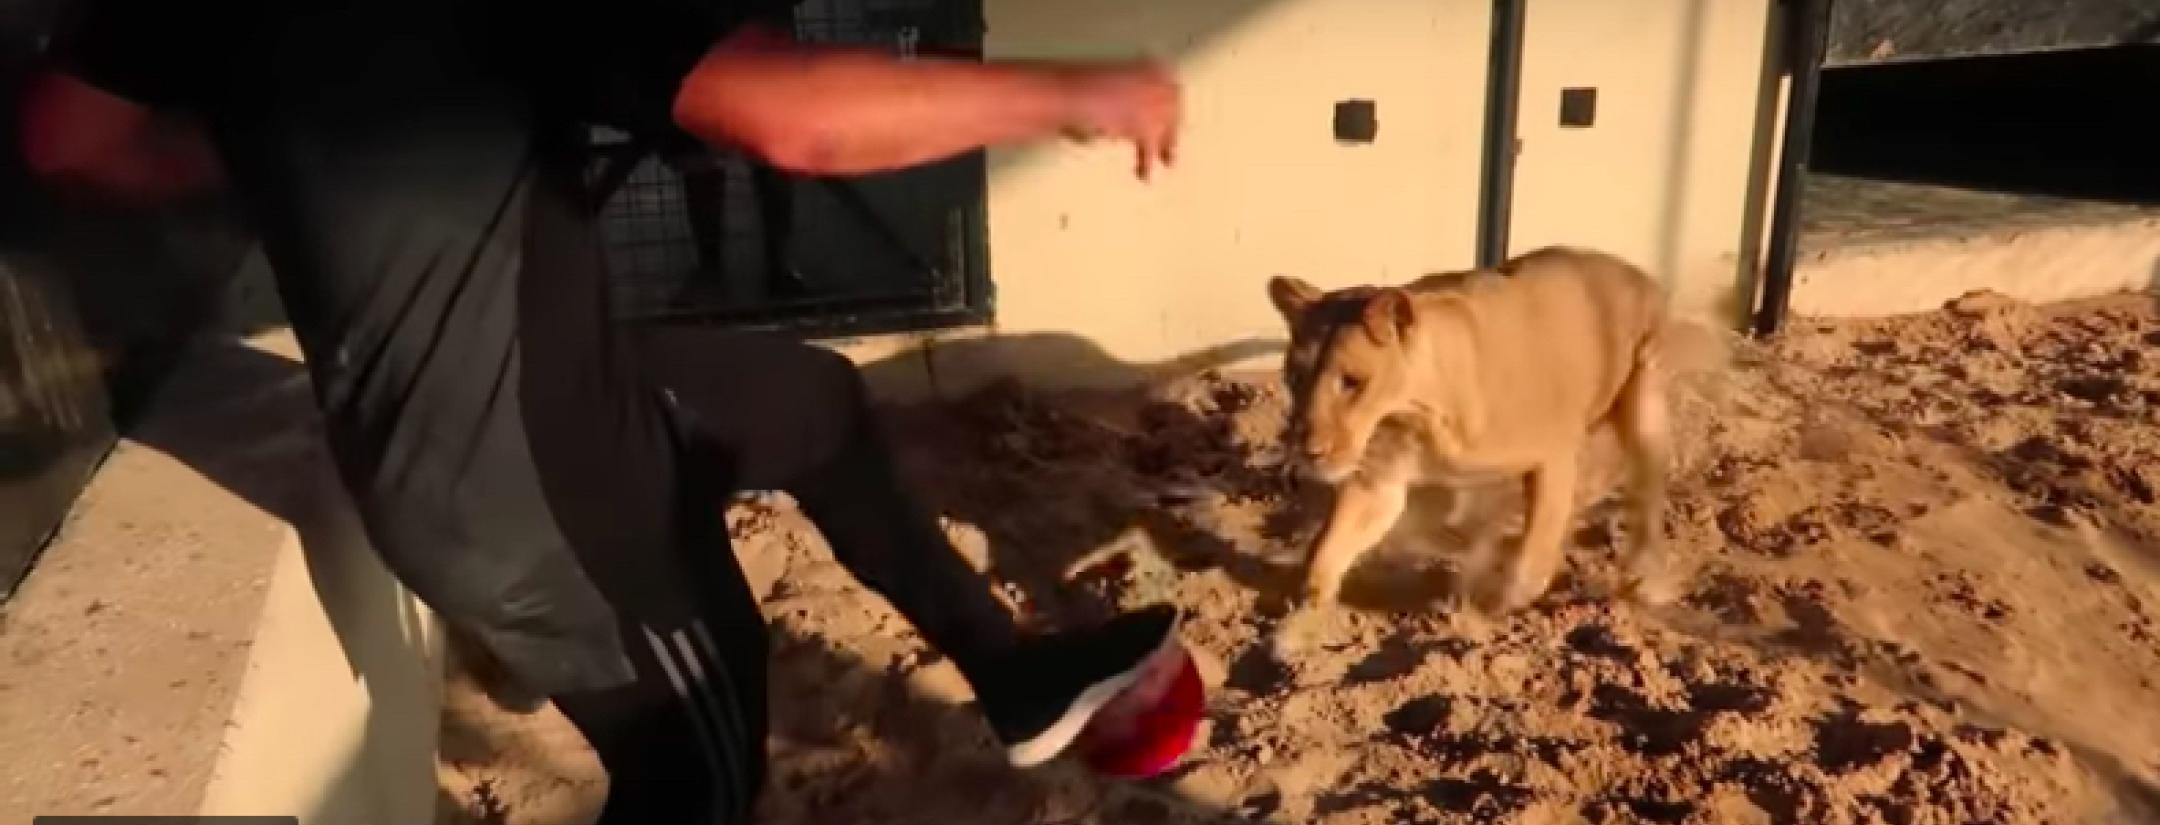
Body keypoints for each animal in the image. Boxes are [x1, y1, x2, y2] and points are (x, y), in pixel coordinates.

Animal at [1265, 245, 1680, 624]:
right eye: (1295, 376)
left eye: (1352, 382)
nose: (1307, 449)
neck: (1418, 413)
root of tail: (1634, 271)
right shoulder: (1378, 481)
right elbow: (1327, 548)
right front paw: (1306, 618)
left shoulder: (1554, 454)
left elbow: (1537, 544)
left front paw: (1493, 605)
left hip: (1645, 403)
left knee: (1648, 491)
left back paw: (1649, 579)